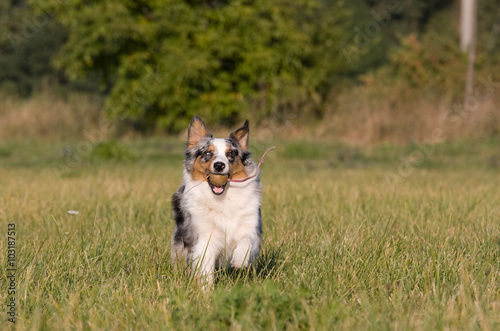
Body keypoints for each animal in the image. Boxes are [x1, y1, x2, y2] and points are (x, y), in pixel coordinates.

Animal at [171, 116, 264, 286]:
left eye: (231, 154)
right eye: (208, 153)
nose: (219, 165)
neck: (223, 198)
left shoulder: (252, 227)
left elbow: (247, 241)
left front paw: (239, 260)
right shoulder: (205, 236)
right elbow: (204, 267)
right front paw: (205, 289)